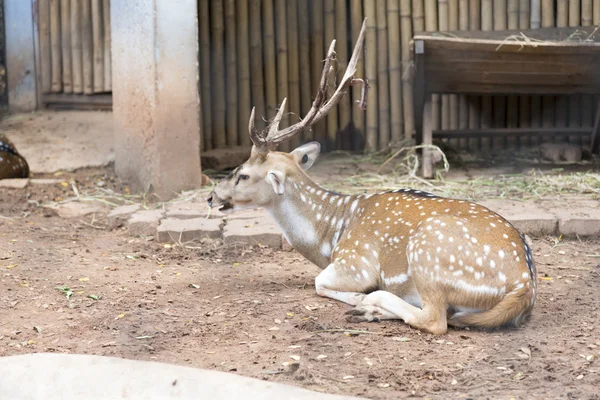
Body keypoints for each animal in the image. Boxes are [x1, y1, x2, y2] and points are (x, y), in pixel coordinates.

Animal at [206, 19, 536, 334]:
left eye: (243, 175)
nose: (210, 196)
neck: (329, 239)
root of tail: (523, 286)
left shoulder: (355, 262)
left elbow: (319, 282)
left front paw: (359, 296)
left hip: (428, 250)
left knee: (435, 319)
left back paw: (370, 304)